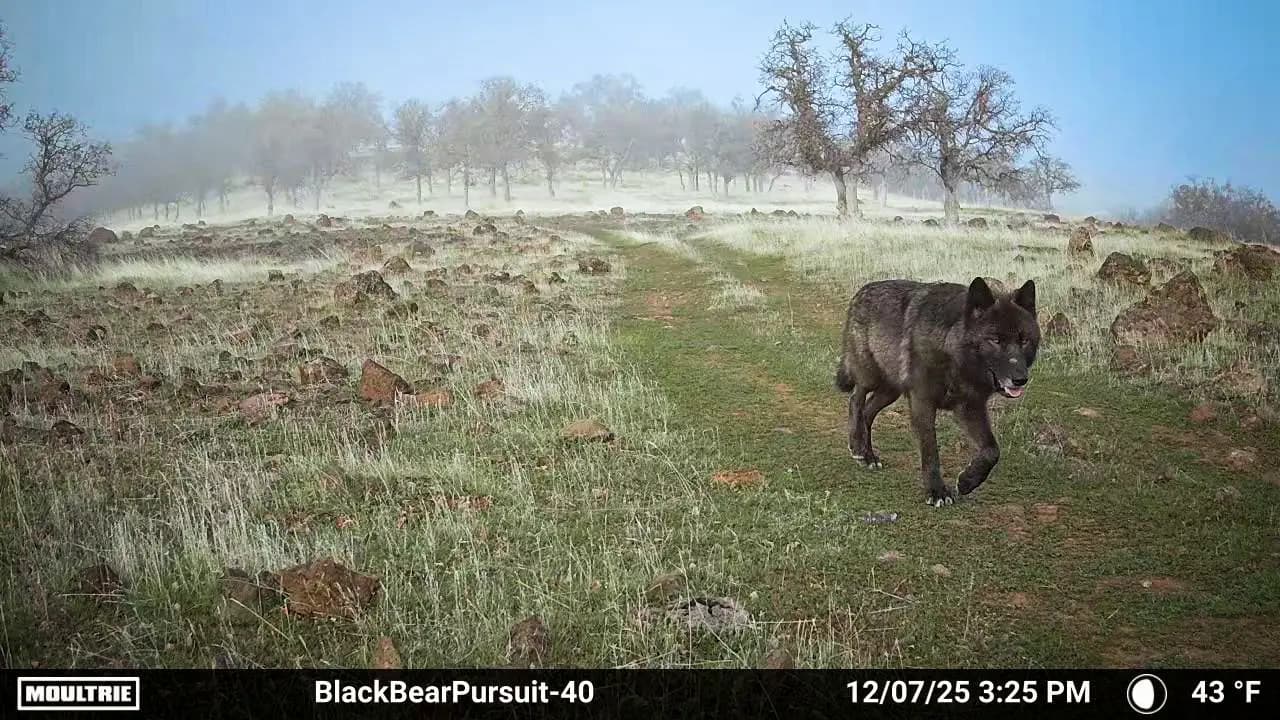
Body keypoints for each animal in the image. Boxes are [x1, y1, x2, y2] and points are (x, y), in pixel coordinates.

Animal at [835, 277, 1040, 506]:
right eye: (995, 340)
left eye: (1024, 340)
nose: (1020, 379)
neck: (953, 355)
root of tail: (862, 291)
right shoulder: (922, 403)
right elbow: (930, 449)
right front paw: (936, 492)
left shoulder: (970, 408)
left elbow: (992, 450)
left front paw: (967, 481)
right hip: (870, 377)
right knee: (856, 400)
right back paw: (857, 446)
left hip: (891, 391)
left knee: (867, 412)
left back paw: (867, 455)